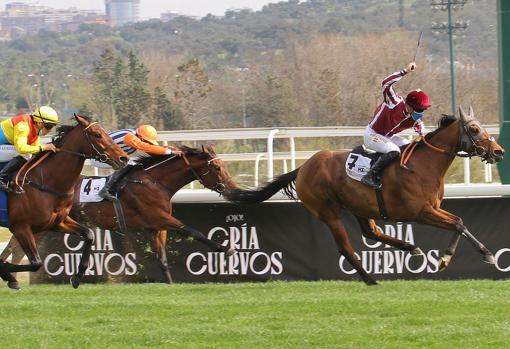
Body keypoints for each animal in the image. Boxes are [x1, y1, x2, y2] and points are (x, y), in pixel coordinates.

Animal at [0, 115, 127, 290]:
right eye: (97, 135)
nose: (123, 158)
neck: (45, 182)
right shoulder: (20, 227)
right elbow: (36, 263)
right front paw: (7, 274)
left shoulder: (56, 222)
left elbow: (89, 234)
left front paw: (78, 276)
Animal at [68, 144, 241, 282]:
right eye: (217, 167)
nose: (232, 188)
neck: (154, 182)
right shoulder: (160, 218)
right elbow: (193, 232)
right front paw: (227, 249)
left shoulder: (156, 228)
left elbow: (162, 260)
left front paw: (170, 285)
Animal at [224, 106, 506, 286]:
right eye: (474, 128)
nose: (499, 151)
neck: (425, 165)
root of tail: (303, 168)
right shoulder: (421, 212)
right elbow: (458, 223)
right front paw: (482, 255)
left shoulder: (434, 209)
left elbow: (459, 223)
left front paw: (446, 258)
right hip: (329, 212)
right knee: (346, 247)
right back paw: (370, 279)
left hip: (361, 207)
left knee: (372, 232)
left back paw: (411, 248)